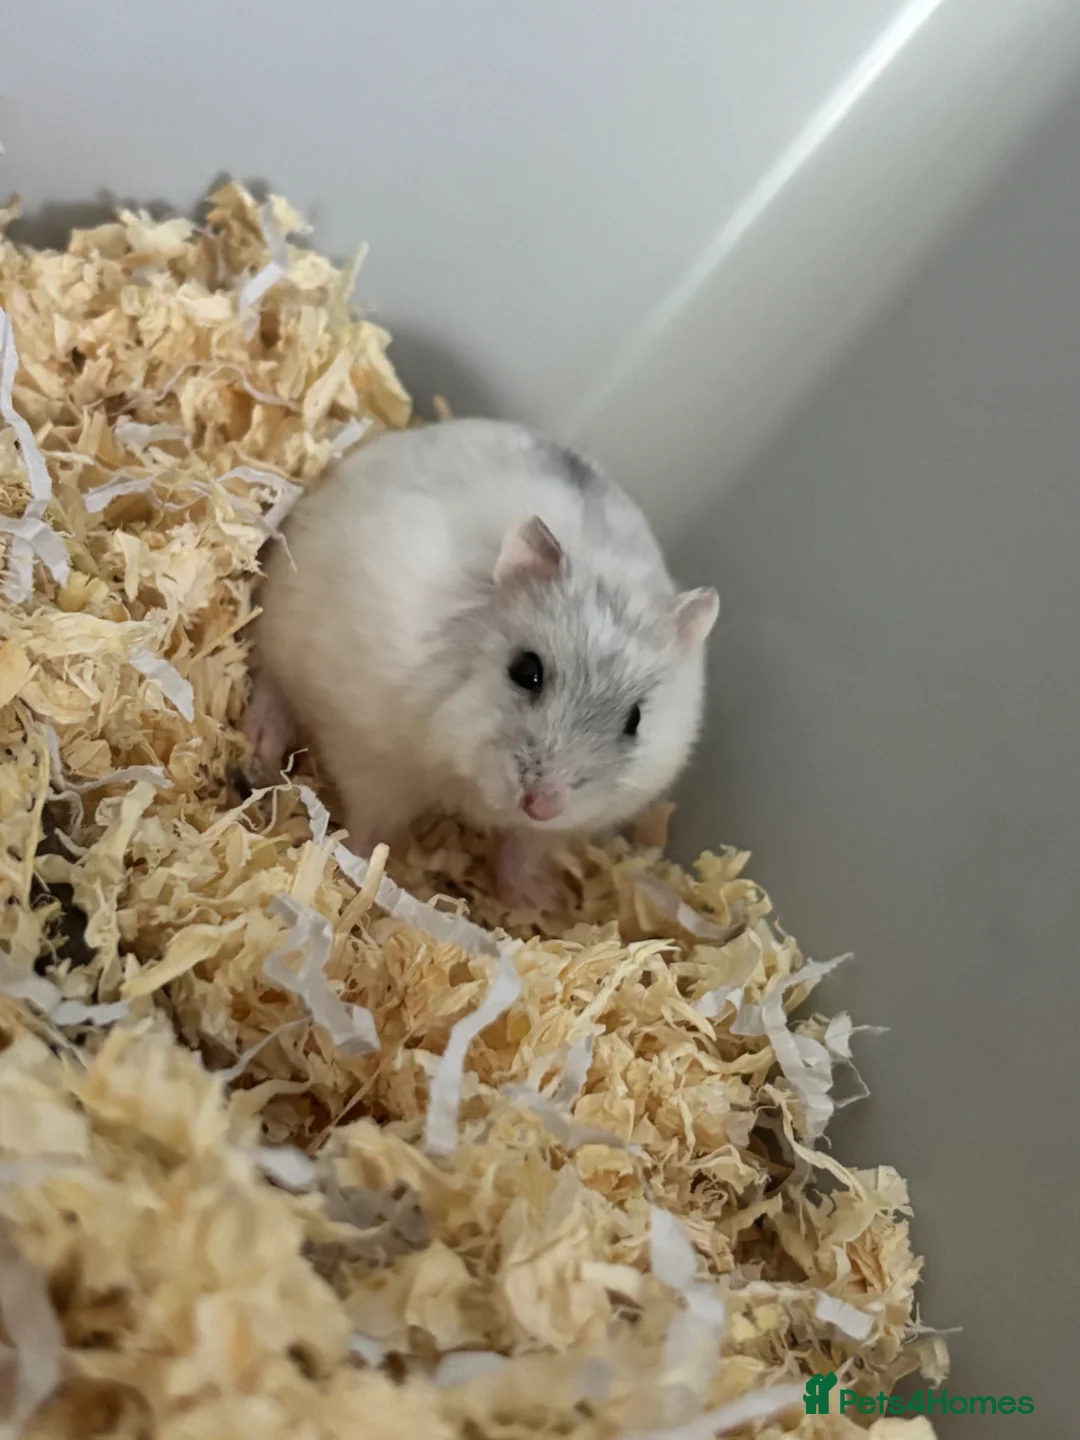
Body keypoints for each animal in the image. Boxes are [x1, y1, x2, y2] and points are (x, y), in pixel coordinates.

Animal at [244, 418, 719, 909]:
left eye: (635, 720)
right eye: (526, 672)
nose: (541, 805)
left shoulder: (559, 826)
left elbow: (524, 848)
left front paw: (535, 899)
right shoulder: (370, 752)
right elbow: (371, 819)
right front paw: (363, 873)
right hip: (279, 617)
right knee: (270, 679)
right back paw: (261, 741)